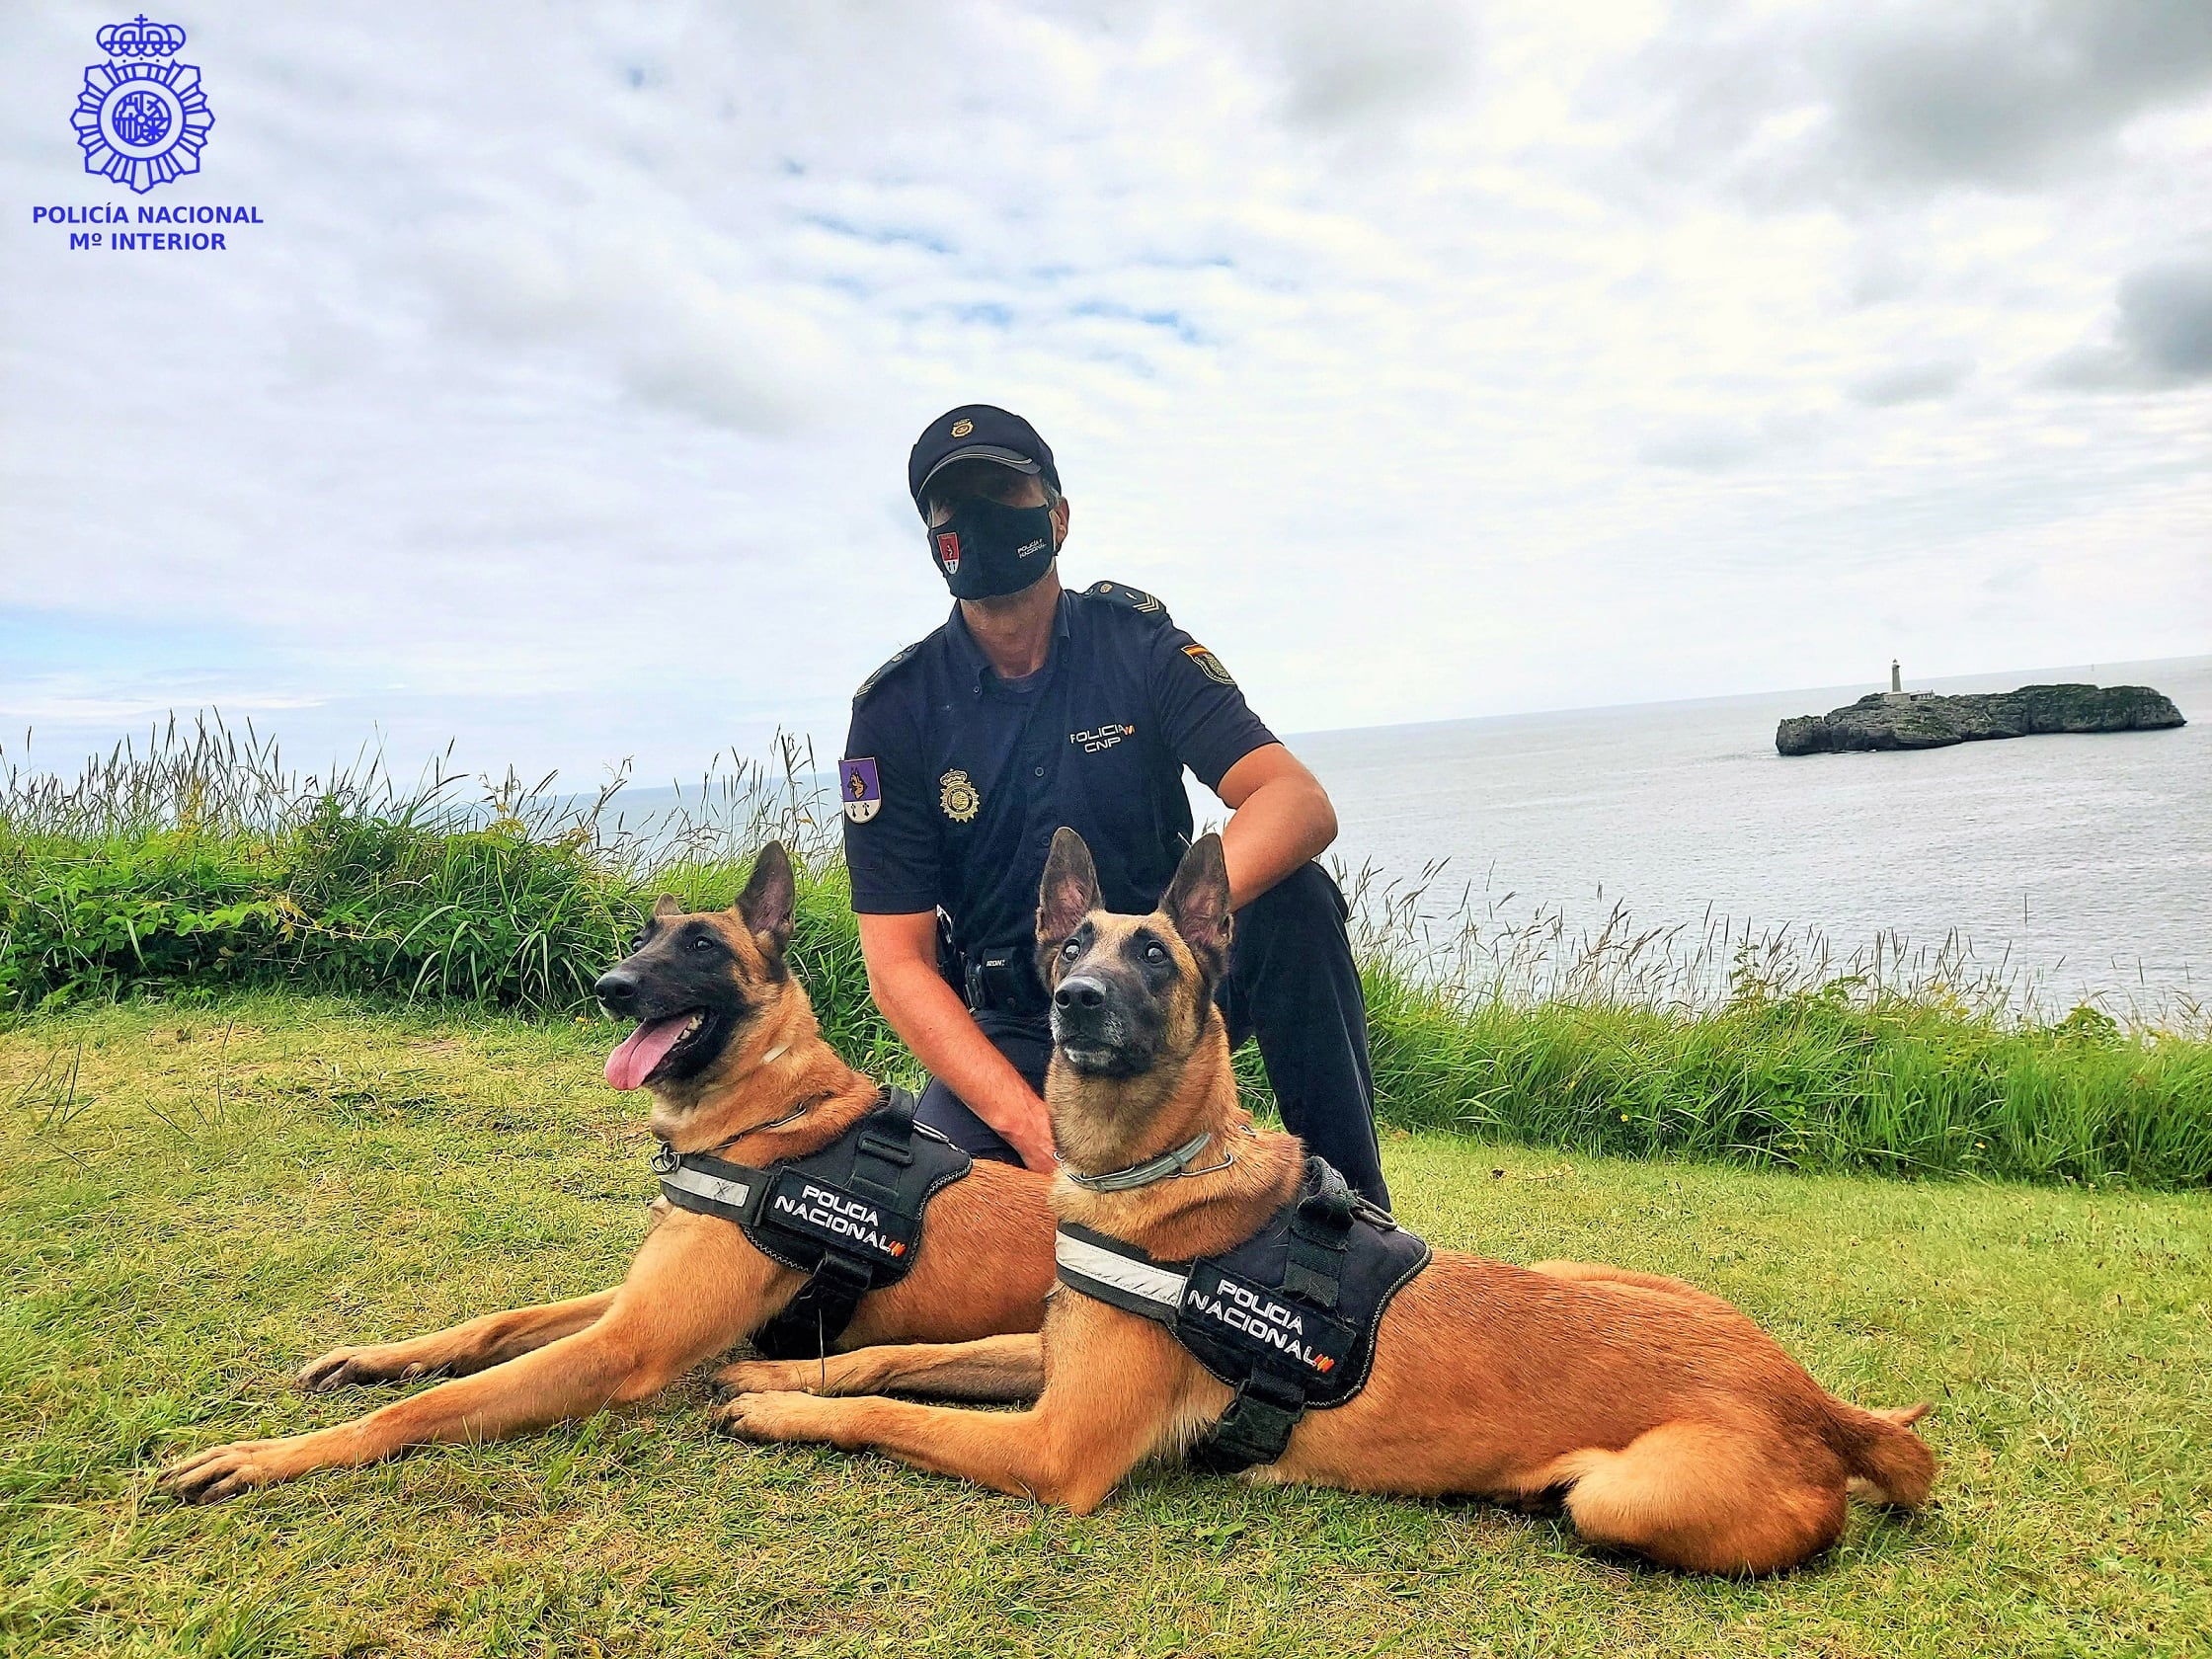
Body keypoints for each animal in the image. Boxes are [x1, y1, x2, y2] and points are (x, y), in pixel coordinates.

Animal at [160, 844, 1057, 1504]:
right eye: (640, 942)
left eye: (701, 946)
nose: (609, 986)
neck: (767, 1119)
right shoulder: (630, 1303)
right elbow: (492, 1326)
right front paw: (379, 1356)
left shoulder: (627, 1342)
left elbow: (427, 1406)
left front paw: (272, 1453)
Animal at [721, 835, 1937, 1574]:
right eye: (1071, 943)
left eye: (1152, 953)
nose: (1074, 1001)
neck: (1157, 1178)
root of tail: (1817, 1404)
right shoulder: (1048, 1357)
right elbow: (899, 1359)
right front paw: (777, 1374)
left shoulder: (1056, 1449)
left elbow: (896, 1416)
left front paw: (789, 1415)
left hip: (1623, 1497)